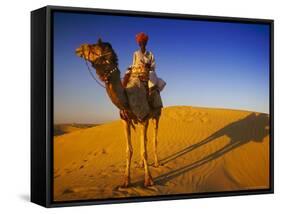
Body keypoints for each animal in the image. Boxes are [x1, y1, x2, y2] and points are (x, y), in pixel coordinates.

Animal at [75, 38, 161, 187]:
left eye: (95, 47)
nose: (79, 48)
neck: (127, 98)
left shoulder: (143, 118)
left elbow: (144, 151)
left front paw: (148, 180)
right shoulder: (126, 120)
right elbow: (129, 150)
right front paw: (126, 181)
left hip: (156, 115)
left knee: (154, 139)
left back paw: (156, 163)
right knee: (144, 140)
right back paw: (140, 164)